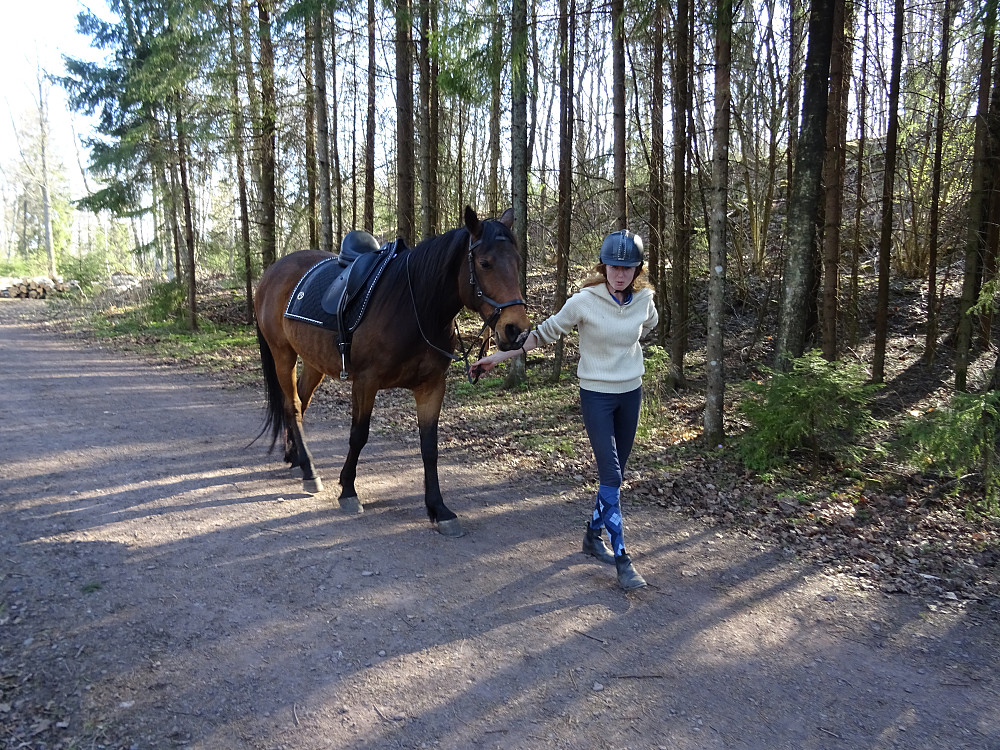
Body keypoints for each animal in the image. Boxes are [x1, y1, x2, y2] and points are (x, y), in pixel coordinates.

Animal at [252, 206, 532, 536]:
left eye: (517, 262)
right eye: (485, 263)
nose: (516, 330)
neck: (416, 307)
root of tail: (273, 271)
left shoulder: (431, 386)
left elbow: (429, 447)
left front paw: (439, 509)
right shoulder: (365, 382)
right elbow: (358, 435)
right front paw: (348, 491)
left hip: (312, 361)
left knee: (298, 403)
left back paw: (296, 457)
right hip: (282, 353)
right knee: (293, 406)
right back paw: (309, 471)